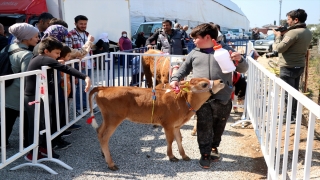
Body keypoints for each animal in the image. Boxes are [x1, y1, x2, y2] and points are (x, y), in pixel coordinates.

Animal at [87, 77, 225, 170]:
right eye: (204, 84)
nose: (221, 81)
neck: (182, 102)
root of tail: (105, 87)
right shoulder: (168, 124)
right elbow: (170, 140)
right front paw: (171, 156)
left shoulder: (176, 125)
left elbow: (179, 138)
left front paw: (184, 155)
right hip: (113, 118)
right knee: (104, 136)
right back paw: (111, 164)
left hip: (107, 118)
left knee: (99, 131)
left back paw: (103, 154)